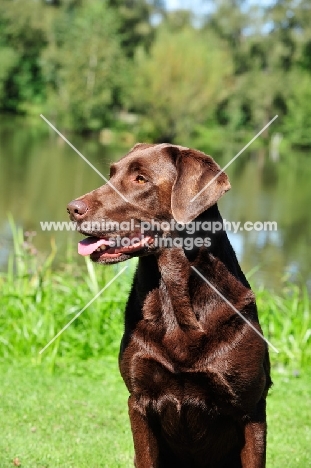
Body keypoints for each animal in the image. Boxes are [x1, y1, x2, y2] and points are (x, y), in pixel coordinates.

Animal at [67, 144, 272, 468]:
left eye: (140, 179)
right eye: (112, 173)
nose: (72, 208)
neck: (173, 295)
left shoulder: (250, 411)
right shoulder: (138, 402)